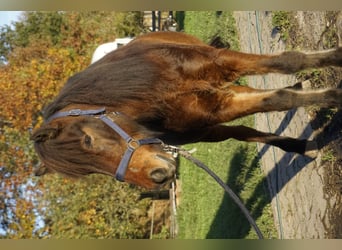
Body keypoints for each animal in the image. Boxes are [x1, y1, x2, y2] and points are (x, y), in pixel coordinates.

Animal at [30, 32, 340, 190]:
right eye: (92, 172)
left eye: (88, 140)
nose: (158, 177)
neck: (154, 95)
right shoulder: (211, 115)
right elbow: (274, 102)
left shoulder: (220, 62)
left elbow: (288, 62)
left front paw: (335, 79)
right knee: (247, 124)